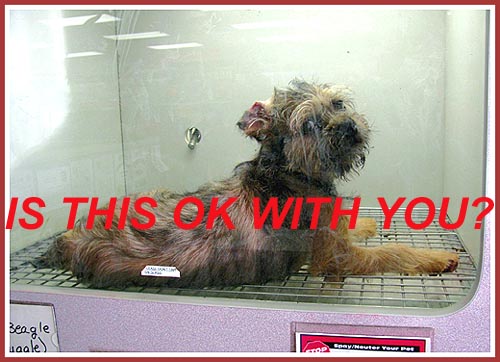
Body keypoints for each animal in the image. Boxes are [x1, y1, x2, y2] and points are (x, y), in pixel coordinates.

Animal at [39, 80, 458, 288]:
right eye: (308, 124)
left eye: (338, 104)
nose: (349, 127)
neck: (290, 171)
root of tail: (68, 240)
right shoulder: (334, 258)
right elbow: (392, 253)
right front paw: (434, 258)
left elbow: (351, 225)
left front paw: (366, 222)